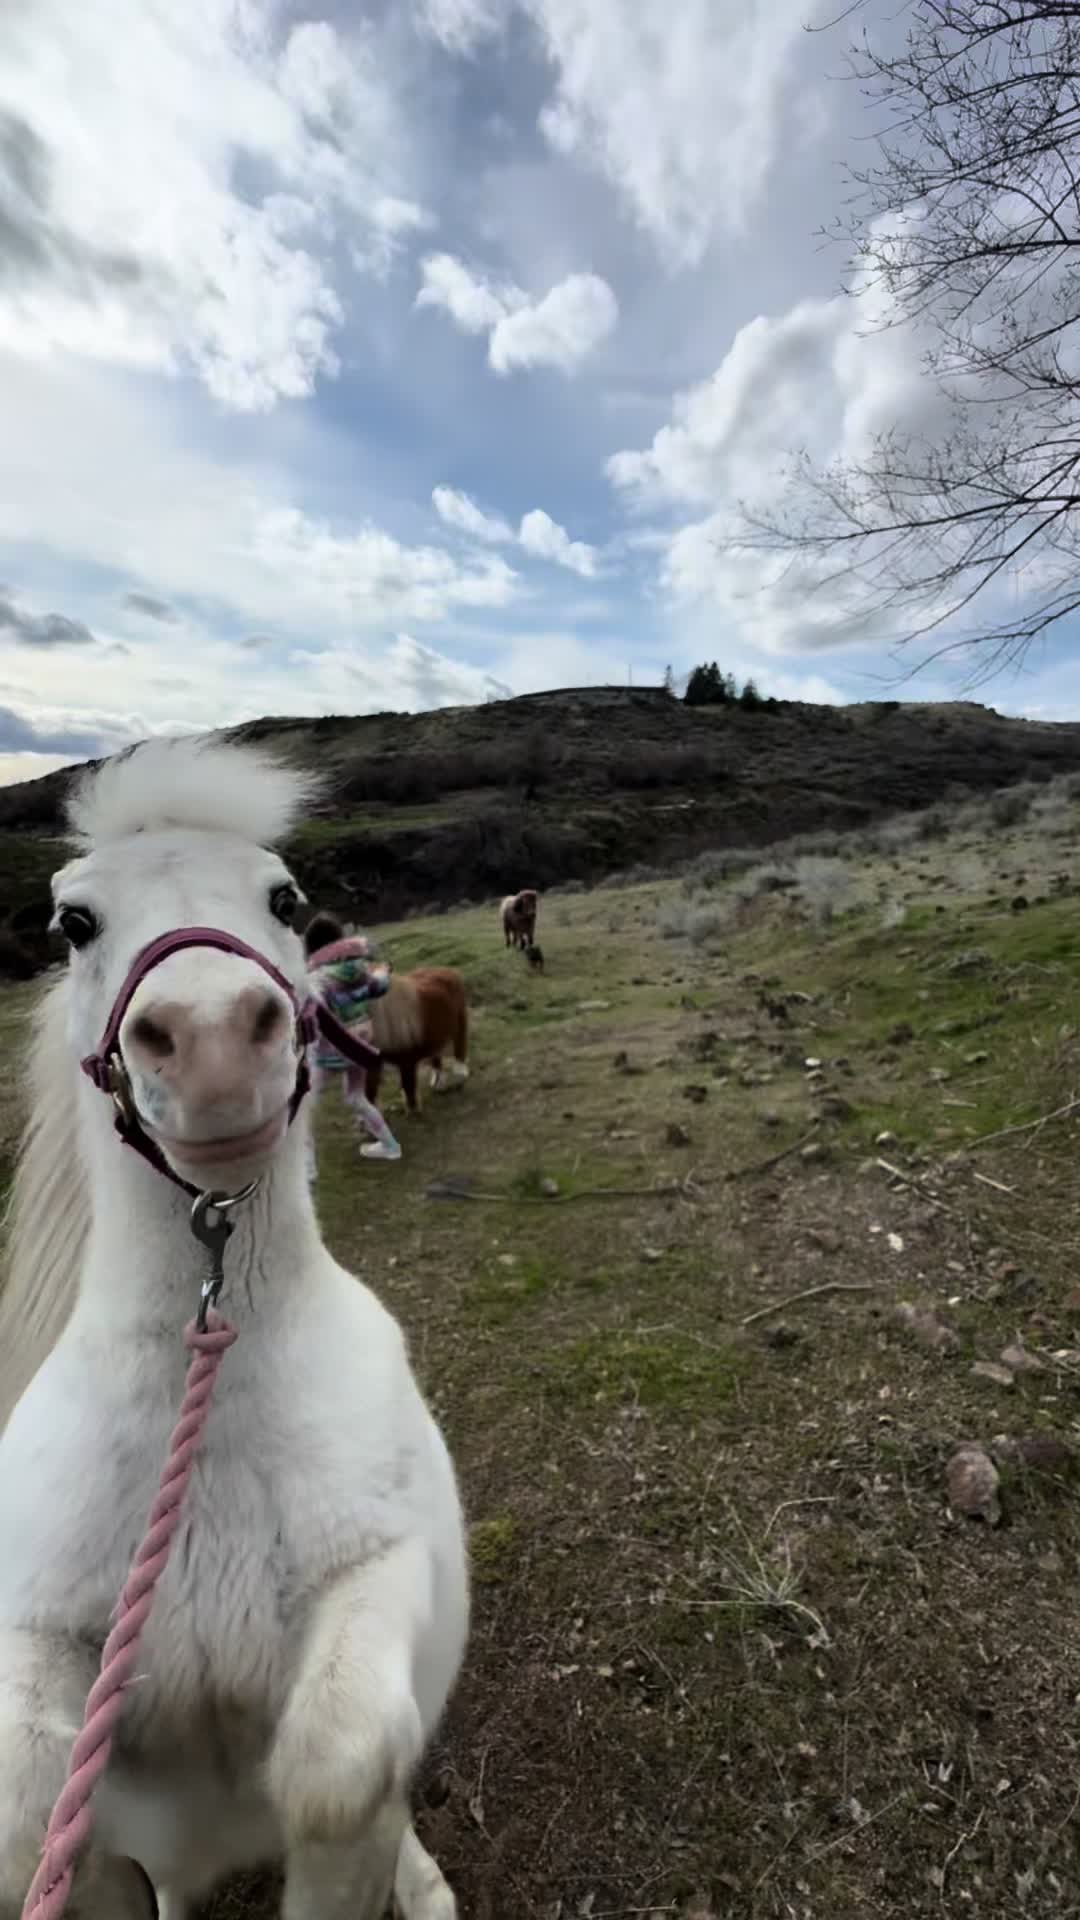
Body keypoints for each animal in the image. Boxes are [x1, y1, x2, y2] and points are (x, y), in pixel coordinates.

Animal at [366, 968, 469, 1112]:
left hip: (460, 1020)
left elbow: (408, 1086)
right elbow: (370, 1092)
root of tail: (446, 970)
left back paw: (460, 1076)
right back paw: (438, 1083)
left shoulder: (407, 1061)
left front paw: (413, 1110)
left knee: (460, 1047)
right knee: (436, 1057)